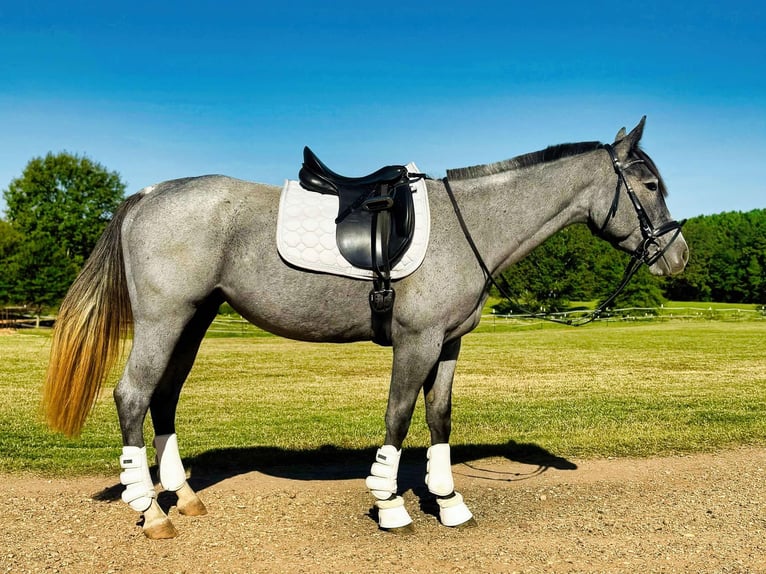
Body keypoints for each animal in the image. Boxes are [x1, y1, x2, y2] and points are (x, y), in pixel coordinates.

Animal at [43, 117, 688, 538]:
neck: (469, 225)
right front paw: (391, 503)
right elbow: (399, 415)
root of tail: (149, 193)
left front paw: (447, 501)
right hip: (164, 318)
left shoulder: (449, 343)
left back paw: (184, 500)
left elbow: (438, 417)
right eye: (650, 185)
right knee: (133, 395)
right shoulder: (417, 341)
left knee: (165, 396)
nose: (678, 257)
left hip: (194, 319)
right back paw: (150, 512)